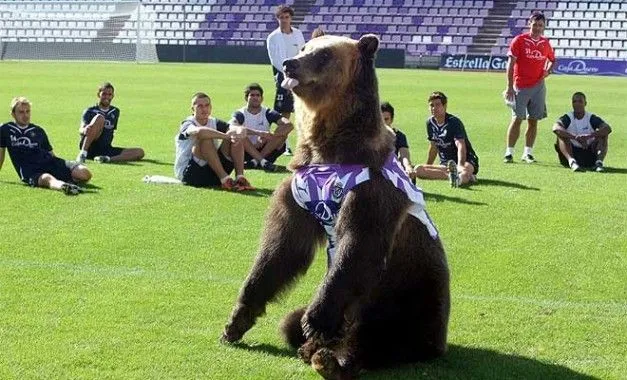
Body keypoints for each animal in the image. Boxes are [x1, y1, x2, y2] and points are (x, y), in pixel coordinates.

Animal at [223, 34, 448, 378]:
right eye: (305, 48)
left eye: (325, 55)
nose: (290, 63)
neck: (328, 153)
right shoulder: (299, 193)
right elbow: (280, 250)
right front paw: (236, 321)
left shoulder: (370, 191)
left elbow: (358, 244)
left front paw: (314, 321)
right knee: (289, 322)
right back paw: (309, 346)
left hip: (404, 300)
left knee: (374, 337)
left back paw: (329, 357)